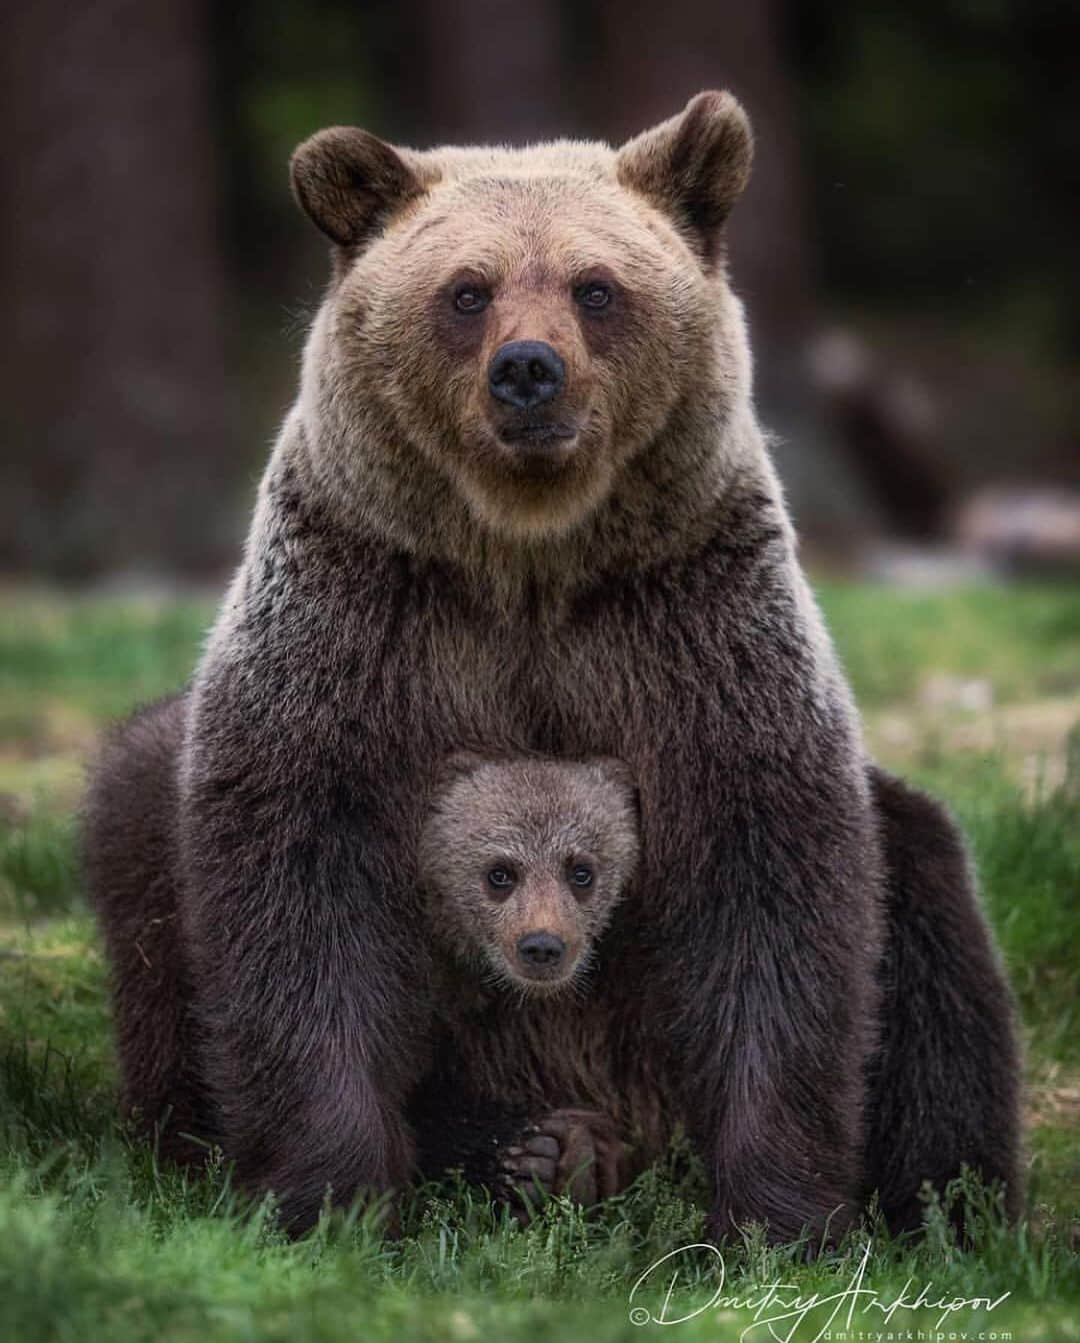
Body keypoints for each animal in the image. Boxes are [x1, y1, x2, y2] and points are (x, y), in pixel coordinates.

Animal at [86, 94, 1020, 1240]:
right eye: (467, 289)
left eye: (596, 286)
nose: (528, 368)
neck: (528, 557)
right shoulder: (361, 632)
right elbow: (298, 893)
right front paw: (332, 1193)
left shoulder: (690, 642)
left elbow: (773, 895)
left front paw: (778, 1213)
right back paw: (529, 1143)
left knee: (934, 928)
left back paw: (949, 1211)